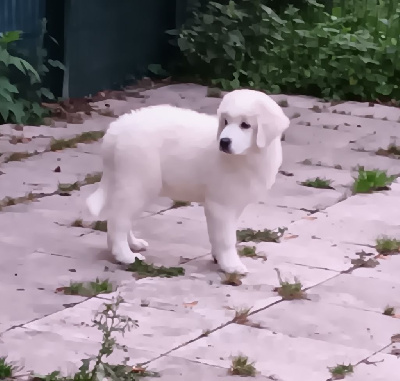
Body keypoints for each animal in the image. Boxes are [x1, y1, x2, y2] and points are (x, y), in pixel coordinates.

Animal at [86, 89, 290, 274]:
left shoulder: (235, 202)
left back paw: (133, 244)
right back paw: (125, 256)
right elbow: (226, 238)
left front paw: (219, 259)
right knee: (117, 220)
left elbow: (221, 234)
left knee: (123, 216)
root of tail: (116, 129)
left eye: (245, 125)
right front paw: (231, 265)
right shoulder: (221, 204)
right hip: (137, 182)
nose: (224, 142)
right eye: (225, 121)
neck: (250, 155)